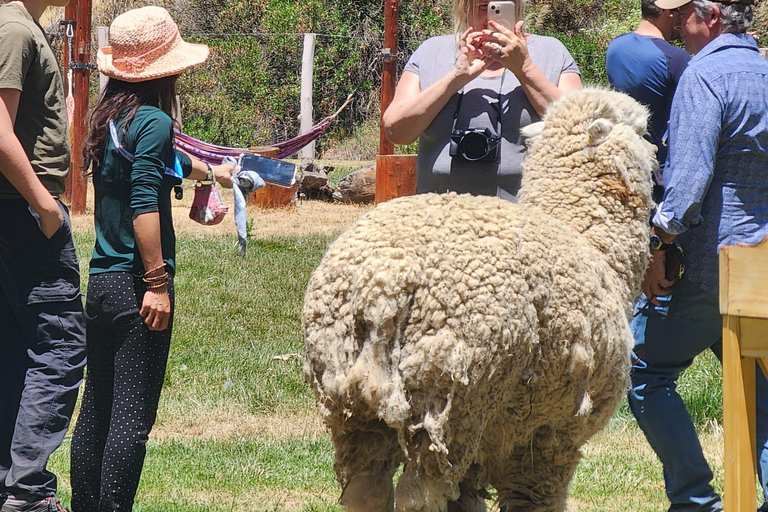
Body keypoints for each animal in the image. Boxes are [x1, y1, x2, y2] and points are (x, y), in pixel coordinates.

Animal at [300, 89, 656, 512]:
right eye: (641, 126)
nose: (658, 151)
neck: (591, 239)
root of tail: (382, 280)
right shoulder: (550, 435)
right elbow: (534, 501)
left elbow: (468, 499)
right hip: (449, 401)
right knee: (419, 496)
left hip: (350, 404)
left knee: (366, 490)